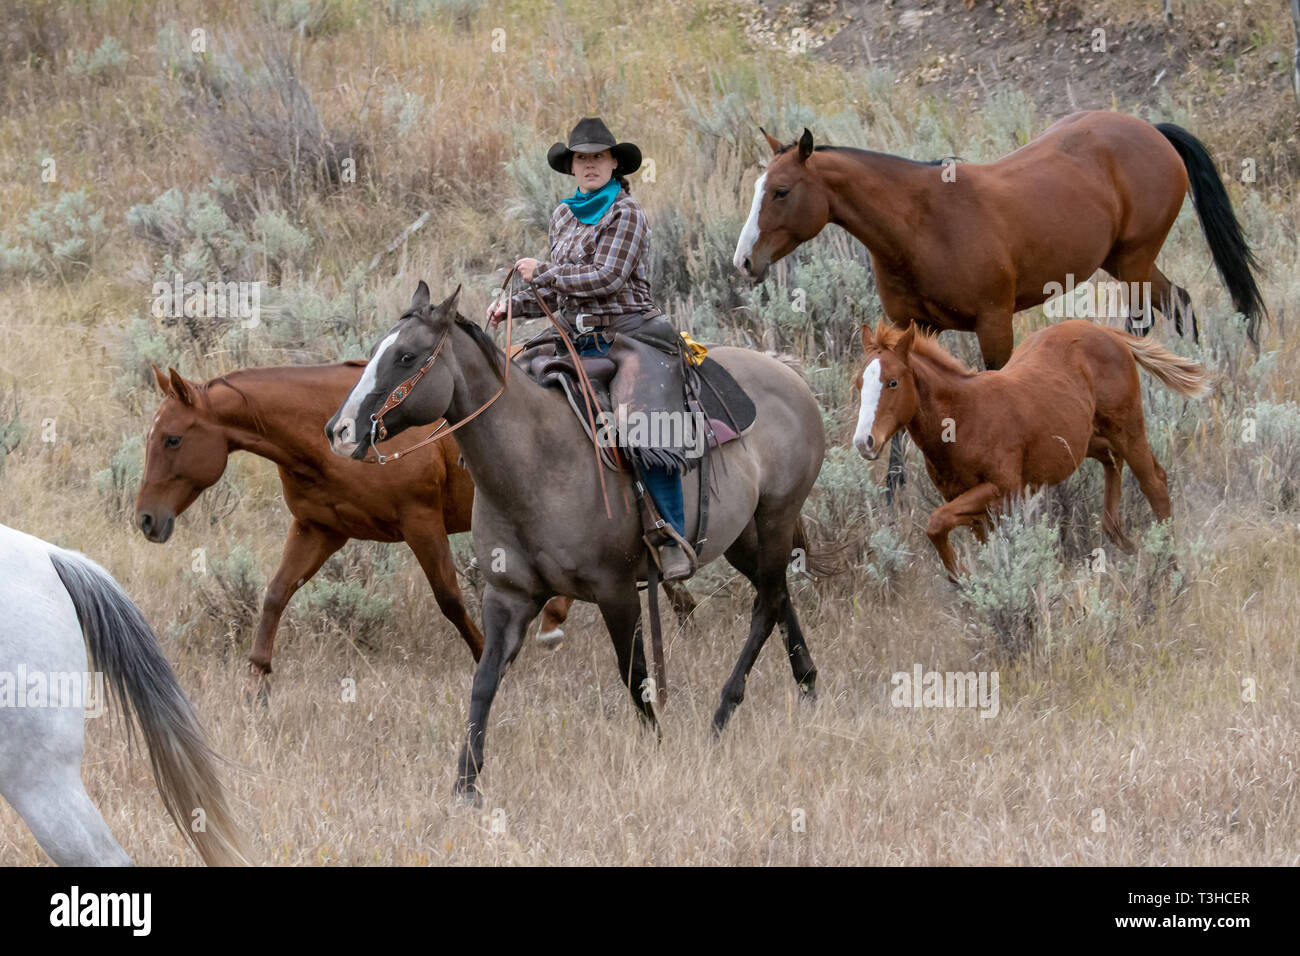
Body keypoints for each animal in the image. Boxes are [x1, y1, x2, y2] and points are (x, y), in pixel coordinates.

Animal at [134, 361, 577, 686]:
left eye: (172, 439)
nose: (146, 518)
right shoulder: (319, 529)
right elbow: (276, 593)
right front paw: (258, 680)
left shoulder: (420, 521)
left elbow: (449, 598)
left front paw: (488, 658)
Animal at [330, 282, 826, 801]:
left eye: (406, 357)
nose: (339, 431)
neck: (536, 460)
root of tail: (790, 379)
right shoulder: (508, 596)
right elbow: (484, 680)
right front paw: (466, 783)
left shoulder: (616, 590)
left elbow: (635, 674)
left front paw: (658, 748)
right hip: (744, 536)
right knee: (777, 594)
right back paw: (807, 686)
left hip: (775, 516)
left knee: (765, 605)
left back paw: (723, 712)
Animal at [852, 317, 1206, 580]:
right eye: (859, 383)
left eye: (893, 382)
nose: (864, 442)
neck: (964, 418)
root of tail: (1105, 332)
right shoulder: (967, 503)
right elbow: (960, 534)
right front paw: (975, 582)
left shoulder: (1003, 489)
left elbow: (936, 522)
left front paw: (966, 579)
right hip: (1083, 439)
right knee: (1111, 459)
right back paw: (1121, 537)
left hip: (1126, 428)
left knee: (1154, 481)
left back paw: (1170, 567)